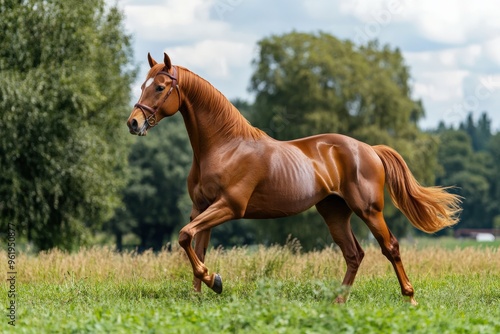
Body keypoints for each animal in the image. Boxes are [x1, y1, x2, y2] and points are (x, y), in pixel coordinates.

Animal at [126, 52, 460, 306]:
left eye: (159, 87)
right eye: (143, 84)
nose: (133, 123)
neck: (224, 147)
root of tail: (370, 150)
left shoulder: (229, 207)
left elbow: (185, 237)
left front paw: (214, 281)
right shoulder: (201, 208)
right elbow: (196, 244)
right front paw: (203, 289)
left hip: (368, 210)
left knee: (390, 247)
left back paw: (410, 298)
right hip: (334, 212)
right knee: (354, 254)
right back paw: (339, 301)